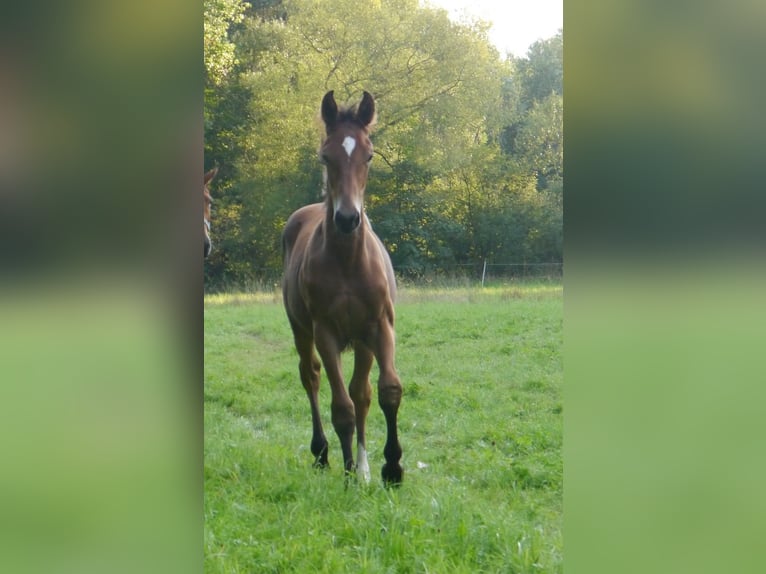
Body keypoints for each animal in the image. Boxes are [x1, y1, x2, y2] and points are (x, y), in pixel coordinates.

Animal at [280, 92, 402, 488]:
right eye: (325, 156)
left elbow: (386, 391)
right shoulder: (325, 332)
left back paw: (364, 466)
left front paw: (391, 467)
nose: (348, 219)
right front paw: (349, 473)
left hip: (362, 341)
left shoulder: (380, 326)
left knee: (361, 392)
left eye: (369, 155)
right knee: (311, 377)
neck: (349, 261)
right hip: (301, 330)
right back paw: (322, 453)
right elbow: (341, 408)